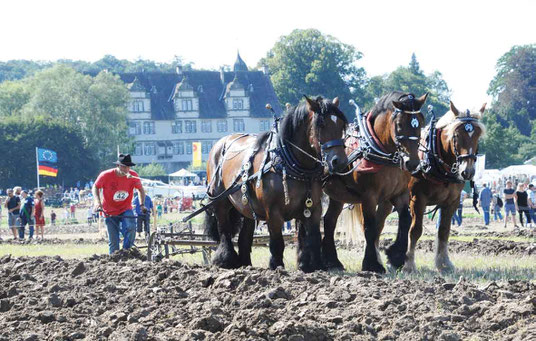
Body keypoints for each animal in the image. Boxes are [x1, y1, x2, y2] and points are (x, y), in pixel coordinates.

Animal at [204, 95, 348, 270]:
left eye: (341, 125)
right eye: (321, 124)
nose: (339, 162)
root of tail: (220, 143)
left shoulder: (313, 208)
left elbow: (313, 238)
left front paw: (314, 267)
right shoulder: (273, 212)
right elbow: (277, 242)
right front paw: (276, 266)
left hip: (246, 207)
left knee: (244, 237)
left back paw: (246, 264)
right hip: (221, 200)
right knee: (224, 229)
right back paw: (225, 260)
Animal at [320, 91, 430, 272]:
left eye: (420, 122)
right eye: (399, 124)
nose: (412, 163)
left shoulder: (400, 194)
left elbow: (405, 219)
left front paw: (395, 256)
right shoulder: (369, 196)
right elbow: (370, 227)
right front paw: (372, 264)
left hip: (337, 194)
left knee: (329, 220)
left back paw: (333, 261)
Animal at [402, 100, 486, 270]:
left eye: (478, 136)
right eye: (456, 135)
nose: (467, 171)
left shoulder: (452, 201)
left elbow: (444, 231)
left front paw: (444, 263)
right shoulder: (417, 199)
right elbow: (415, 230)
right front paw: (409, 264)